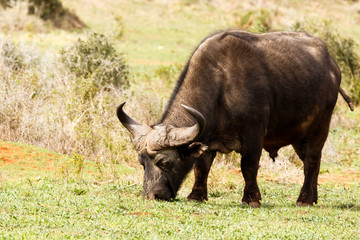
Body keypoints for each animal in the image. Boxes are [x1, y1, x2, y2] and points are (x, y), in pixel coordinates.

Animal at [116, 29, 352, 206]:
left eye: (164, 162)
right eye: (142, 163)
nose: (152, 195)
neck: (222, 82)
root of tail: (332, 66)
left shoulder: (255, 133)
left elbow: (248, 166)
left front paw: (251, 198)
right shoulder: (207, 138)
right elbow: (201, 167)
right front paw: (196, 196)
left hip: (321, 127)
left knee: (312, 160)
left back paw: (304, 199)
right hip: (298, 135)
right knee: (312, 163)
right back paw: (313, 197)